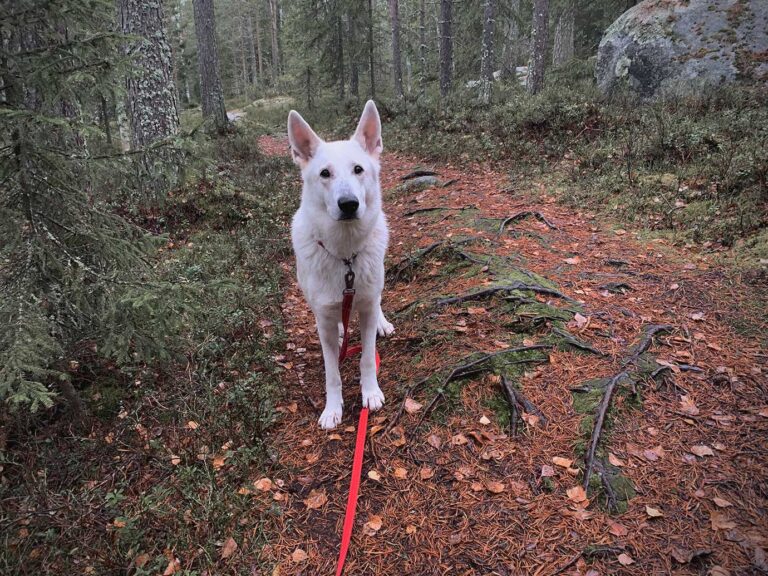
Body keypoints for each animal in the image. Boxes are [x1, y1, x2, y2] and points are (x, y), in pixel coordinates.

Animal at [290, 101, 396, 430]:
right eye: (325, 173)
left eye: (358, 170)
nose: (348, 204)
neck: (345, 255)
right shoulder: (322, 318)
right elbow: (332, 373)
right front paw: (333, 408)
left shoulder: (366, 305)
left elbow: (367, 357)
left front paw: (370, 392)